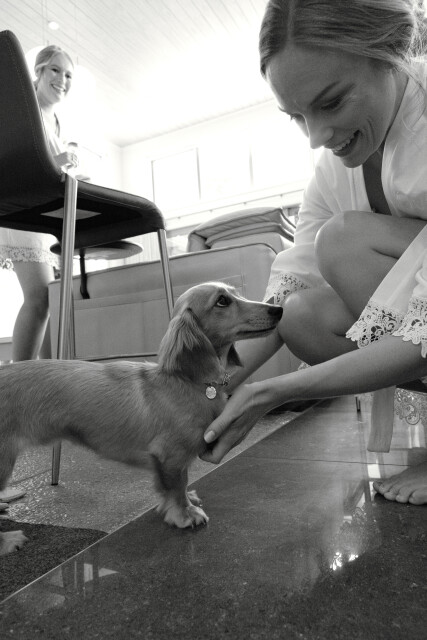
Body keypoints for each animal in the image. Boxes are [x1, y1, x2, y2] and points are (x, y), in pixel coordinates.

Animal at [0, 282, 283, 555]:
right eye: (222, 301)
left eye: (235, 292)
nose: (278, 309)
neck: (184, 380)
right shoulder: (170, 456)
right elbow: (177, 486)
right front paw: (185, 513)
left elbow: (176, 486)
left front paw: (186, 502)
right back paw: (7, 540)